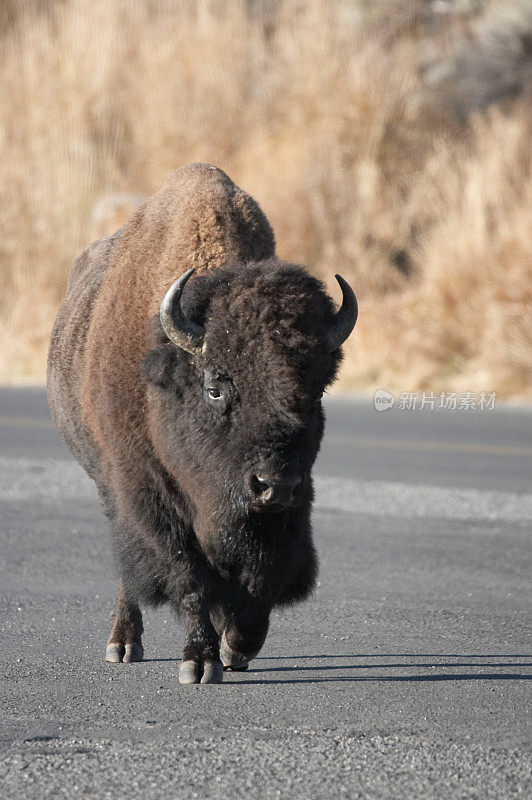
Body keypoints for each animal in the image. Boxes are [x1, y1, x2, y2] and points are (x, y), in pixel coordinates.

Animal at [48, 161, 358, 680]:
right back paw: (123, 644)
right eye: (216, 386)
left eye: (314, 391)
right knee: (129, 566)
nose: (274, 484)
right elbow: (188, 573)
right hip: (109, 488)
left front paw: (237, 645)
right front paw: (199, 662)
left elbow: (260, 575)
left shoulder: (283, 513)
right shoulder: (152, 498)